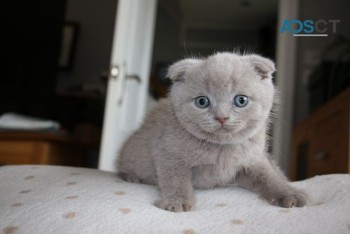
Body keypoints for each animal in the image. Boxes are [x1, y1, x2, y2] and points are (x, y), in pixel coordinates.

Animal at [117, 52, 306, 212]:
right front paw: (177, 201)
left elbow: (270, 177)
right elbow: (176, 178)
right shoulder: (168, 153)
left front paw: (290, 194)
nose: (222, 117)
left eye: (241, 100)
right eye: (202, 102)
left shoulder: (254, 159)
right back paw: (131, 177)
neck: (221, 149)